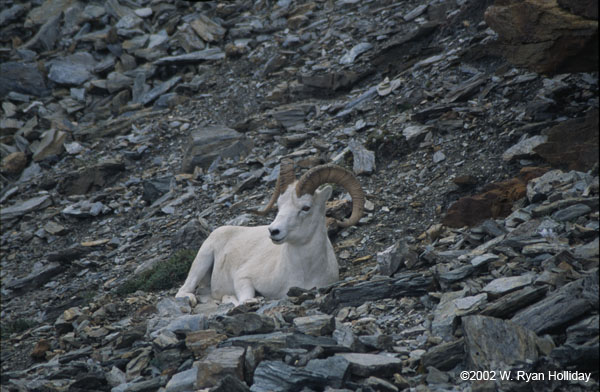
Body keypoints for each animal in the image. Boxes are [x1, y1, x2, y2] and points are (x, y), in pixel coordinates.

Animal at [175, 159, 366, 306]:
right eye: (279, 205)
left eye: (306, 207)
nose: (274, 231)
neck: (303, 272)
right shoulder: (242, 278)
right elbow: (245, 299)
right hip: (202, 260)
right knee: (184, 291)